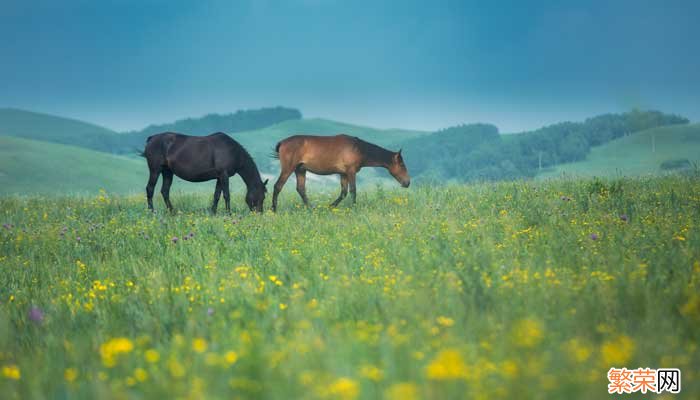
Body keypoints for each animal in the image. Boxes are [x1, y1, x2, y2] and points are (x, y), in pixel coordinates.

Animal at [270, 134, 410, 211]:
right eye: (402, 165)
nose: (407, 183)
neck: (358, 148)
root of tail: (282, 142)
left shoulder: (343, 174)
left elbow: (343, 193)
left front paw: (330, 206)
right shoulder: (351, 172)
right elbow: (353, 191)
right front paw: (354, 207)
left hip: (300, 170)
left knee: (301, 189)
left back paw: (311, 208)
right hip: (288, 169)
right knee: (278, 186)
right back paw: (274, 209)